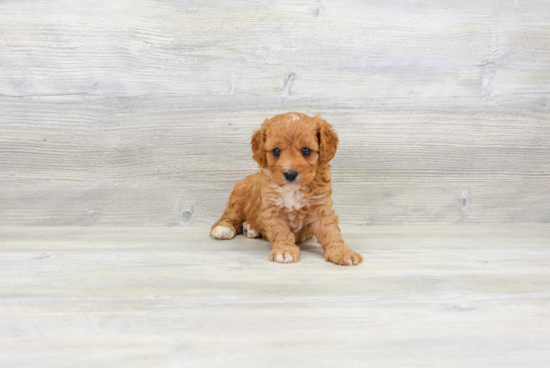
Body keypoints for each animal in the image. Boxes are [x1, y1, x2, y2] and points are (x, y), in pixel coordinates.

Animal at [210, 110, 362, 266]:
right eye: (276, 151)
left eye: (306, 151)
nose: (290, 174)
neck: (293, 190)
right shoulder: (273, 211)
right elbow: (281, 232)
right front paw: (284, 251)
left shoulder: (321, 208)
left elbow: (331, 232)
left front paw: (342, 251)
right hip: (238, 201)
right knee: (228, 217)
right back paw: (223, 229)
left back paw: (251, 229)